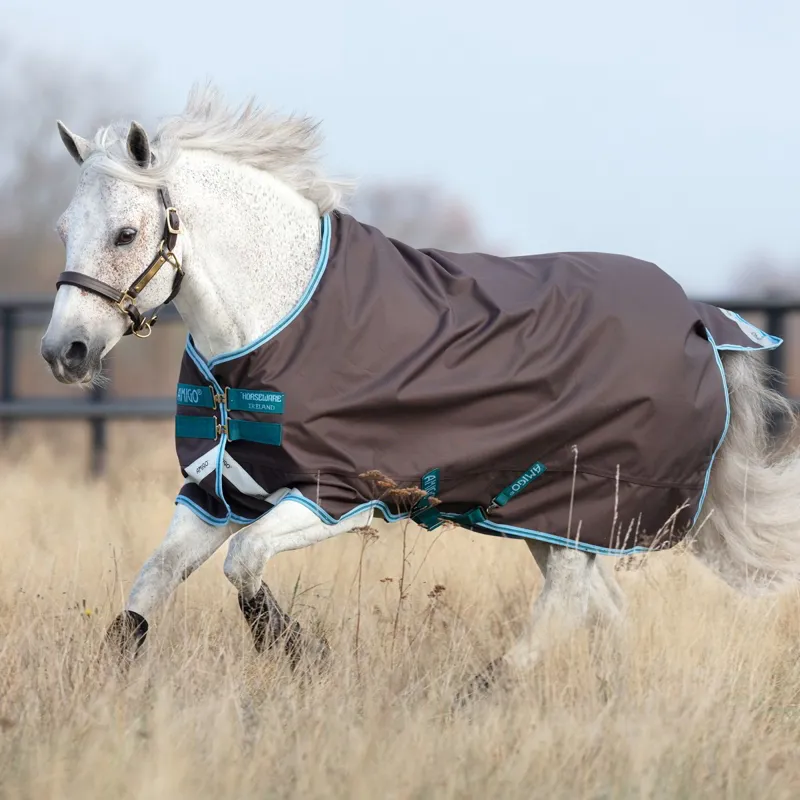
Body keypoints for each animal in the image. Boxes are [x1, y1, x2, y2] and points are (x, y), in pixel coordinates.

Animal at [41, 85, 800, 700]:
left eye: (127, 233)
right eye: (65, 230)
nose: (63, 352)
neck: (276, 323)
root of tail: (703, 321)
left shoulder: (333, 498)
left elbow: (245, 565)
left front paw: (302, 655)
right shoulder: (217, 492)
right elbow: (151, 585)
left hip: (576, 505)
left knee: (566, 602)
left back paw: (484, 690)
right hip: (543, 516)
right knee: (600, 607)